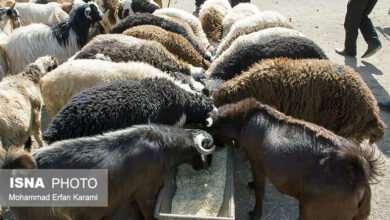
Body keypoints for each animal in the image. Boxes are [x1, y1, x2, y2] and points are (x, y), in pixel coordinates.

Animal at [207, 98, 380, 220]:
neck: (245, 118)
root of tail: (358, 175)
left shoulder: (256, 161)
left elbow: (260, 190)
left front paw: (255, 213)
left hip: (313, 211)